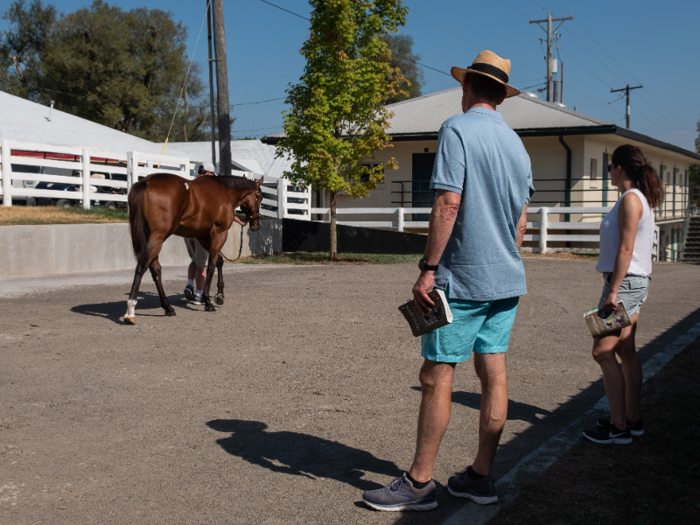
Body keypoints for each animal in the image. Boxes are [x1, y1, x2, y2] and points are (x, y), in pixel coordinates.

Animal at [123, 172, 262, 324]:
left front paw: (219, 295)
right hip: (158, 237)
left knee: (155, 270)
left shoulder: (203, 237)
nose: (257, 224)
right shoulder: (220, 234)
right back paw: (130, 310)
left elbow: (219, 261)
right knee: (142, 267)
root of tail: (146, 182)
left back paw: (168, 307)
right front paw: (208, 301)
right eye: (260, 198)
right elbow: (211, 266)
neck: (225, 191)